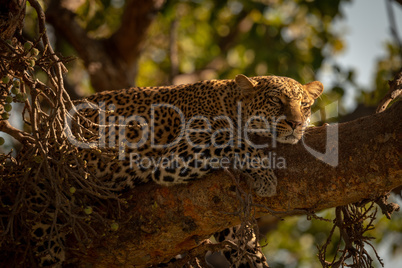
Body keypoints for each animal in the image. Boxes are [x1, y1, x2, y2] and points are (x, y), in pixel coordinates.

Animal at [32, 73, 324, 266]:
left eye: (305, 105)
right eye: (276, 101)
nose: (297, 124)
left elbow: (245, 244)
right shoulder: (178, 153)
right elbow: (230, 139)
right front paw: (264, 176)